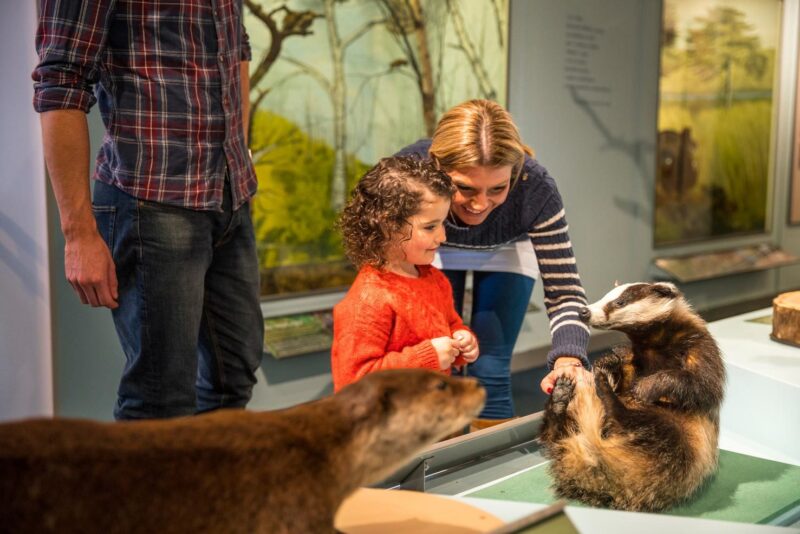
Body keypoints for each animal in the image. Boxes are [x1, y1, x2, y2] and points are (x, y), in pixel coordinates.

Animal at [536, 282, 724, 512]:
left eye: (619, 302)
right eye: (606, 296)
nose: (584, 311)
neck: (652, 346)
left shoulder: (698, 346)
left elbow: (702, 384)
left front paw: (646, 387)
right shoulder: (630, 357)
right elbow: (620, 364)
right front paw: (605, 362)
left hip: (682, 442)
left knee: (649, 426)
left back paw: (607, 395)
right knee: (554, 435)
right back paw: (561, 398)